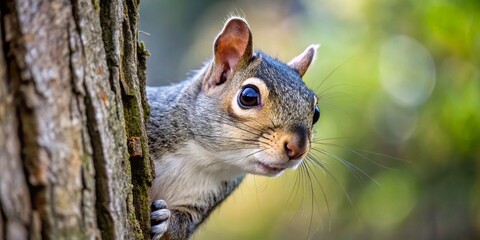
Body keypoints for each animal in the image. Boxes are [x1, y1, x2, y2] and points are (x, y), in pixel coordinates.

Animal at [146, 17, 318, 240]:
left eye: (316, 113)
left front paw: (165, 220)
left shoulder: (202, 201)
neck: (201, 158)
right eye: (248, 96)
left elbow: (181, 227)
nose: (298, 148)